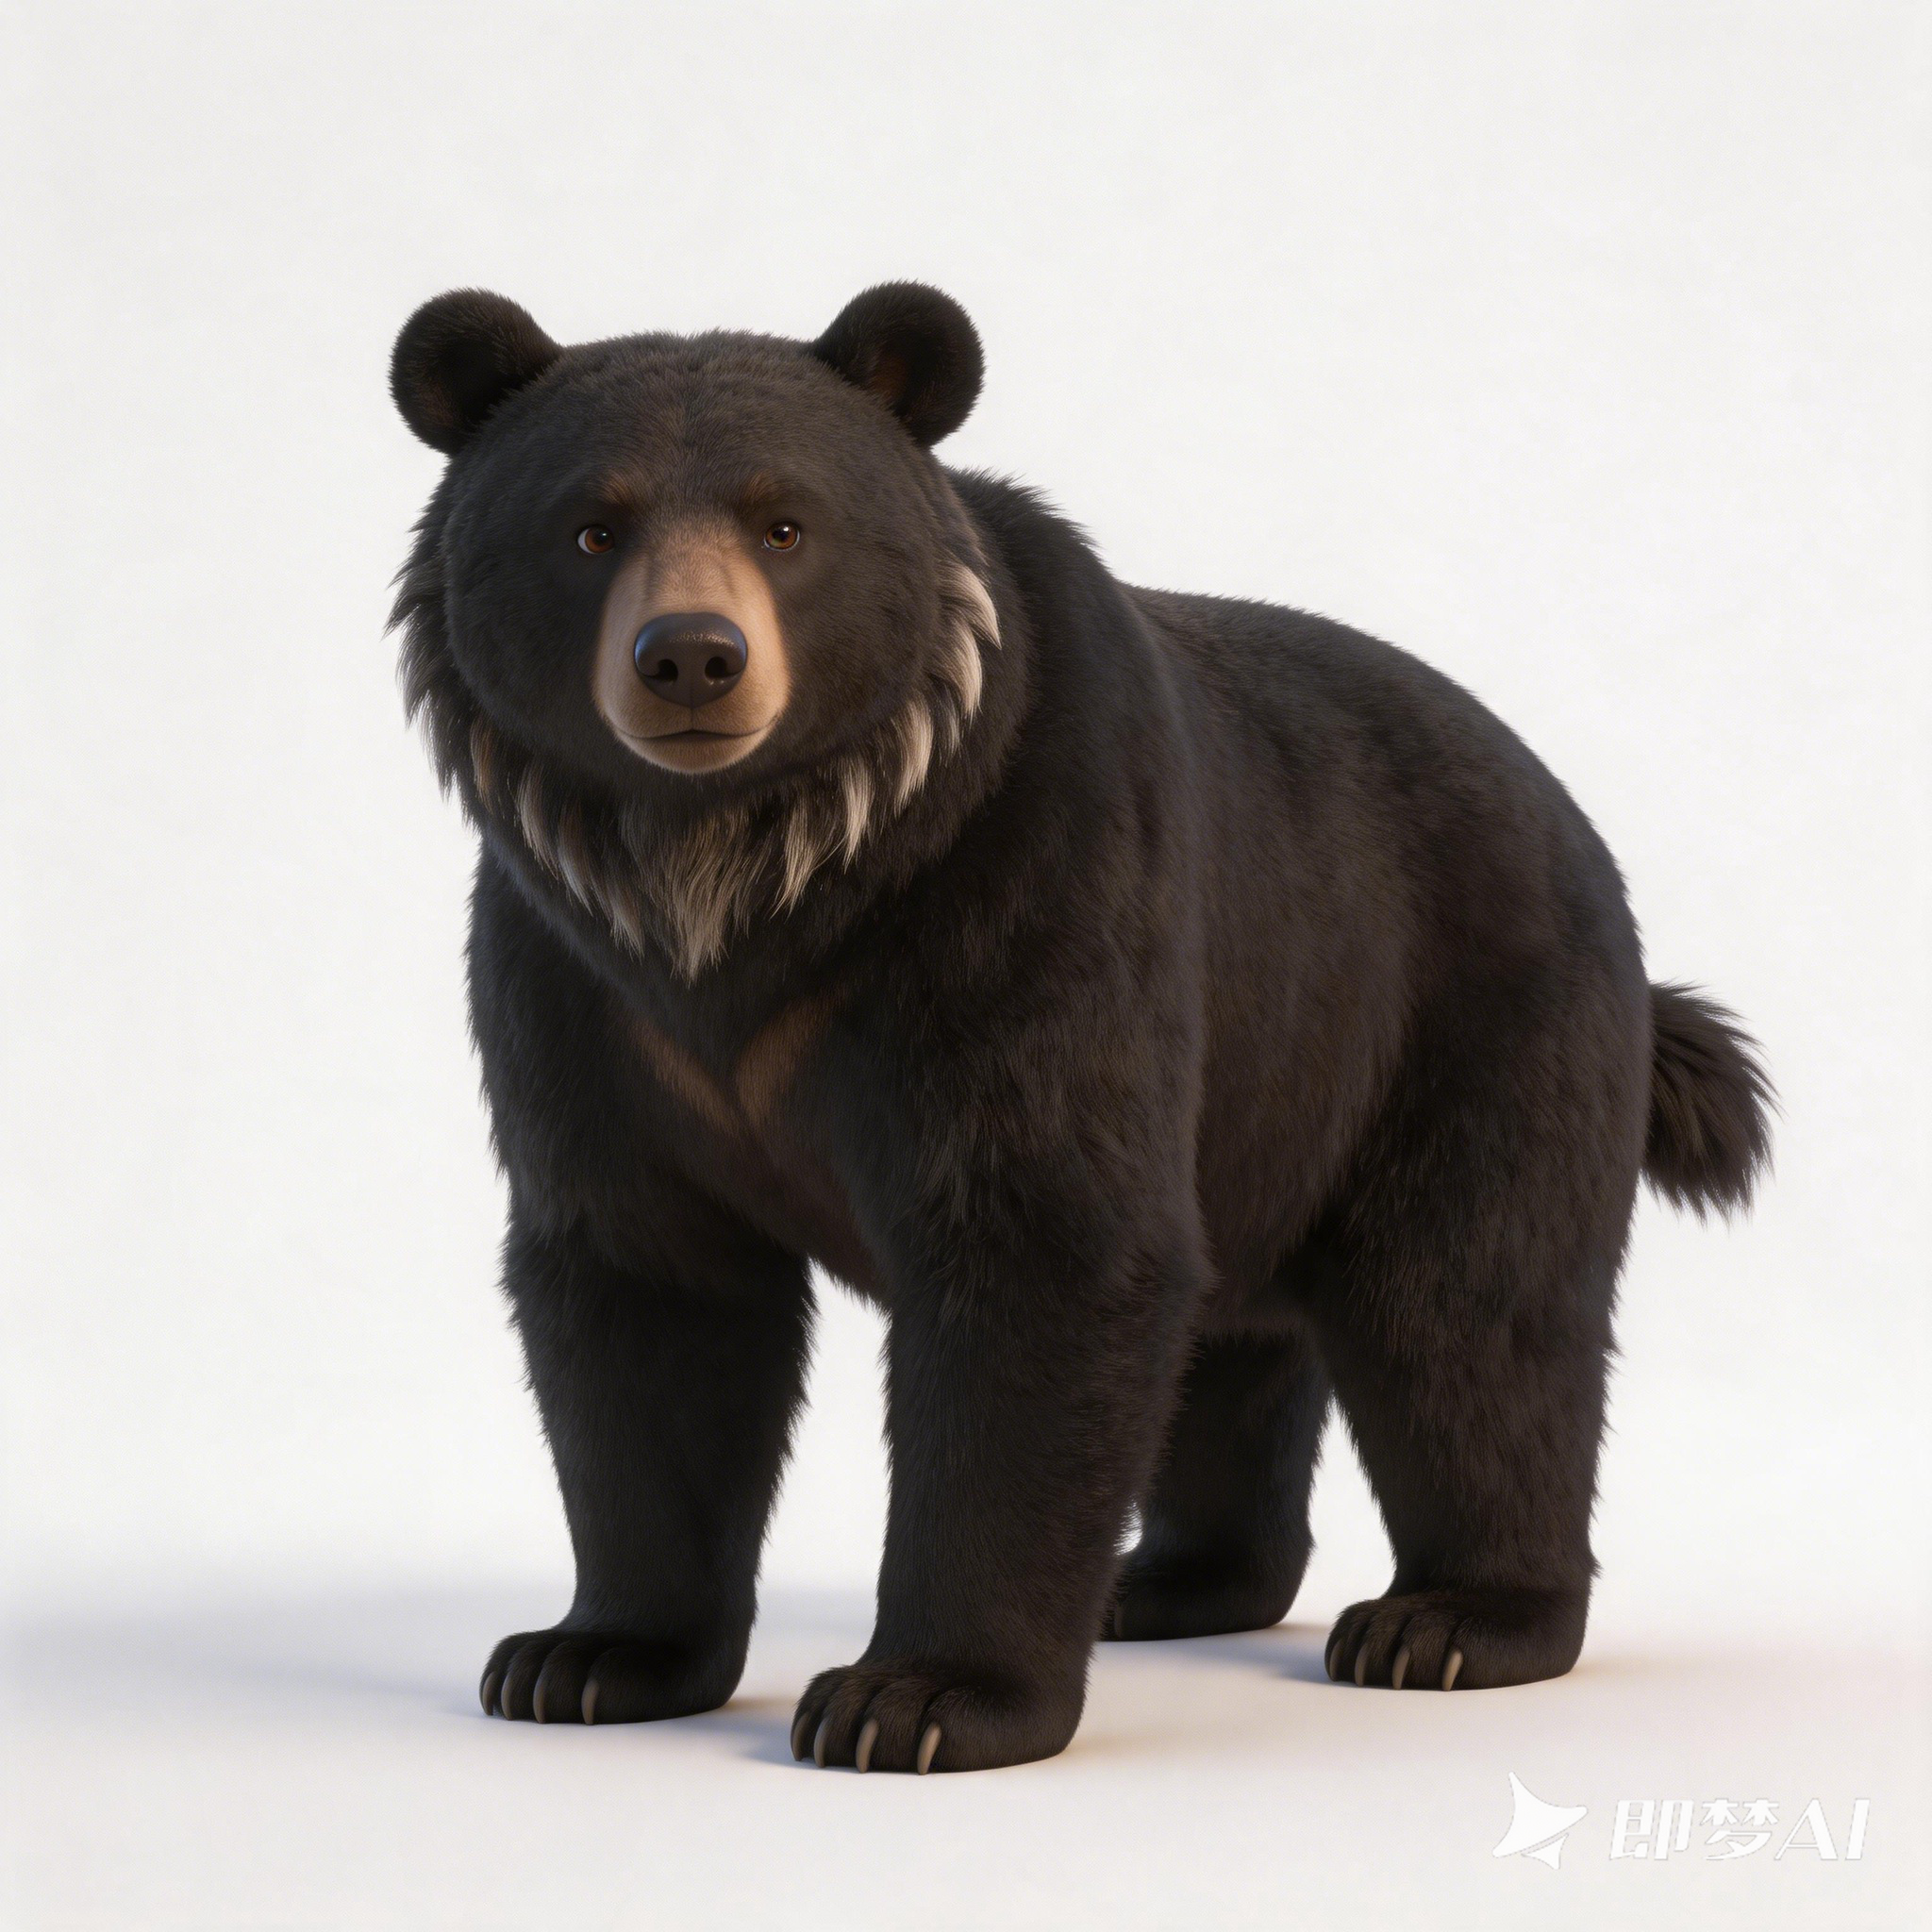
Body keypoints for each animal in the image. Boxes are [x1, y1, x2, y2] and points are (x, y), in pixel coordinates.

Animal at [388, 282, 1772, 1773]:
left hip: (1463, 1011)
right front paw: (585, 1656)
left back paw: (1448, 1619)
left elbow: (1040, 1250)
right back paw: (1167, 1579)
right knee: (1232, 1341)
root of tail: (1581, 836)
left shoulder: (1025, 890)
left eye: (786, 523)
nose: (693, 657)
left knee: (1464, 1309)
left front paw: (917, 1695)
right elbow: (646, 1297)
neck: (746, 883)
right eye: (591, 526)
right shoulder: (584, 995)